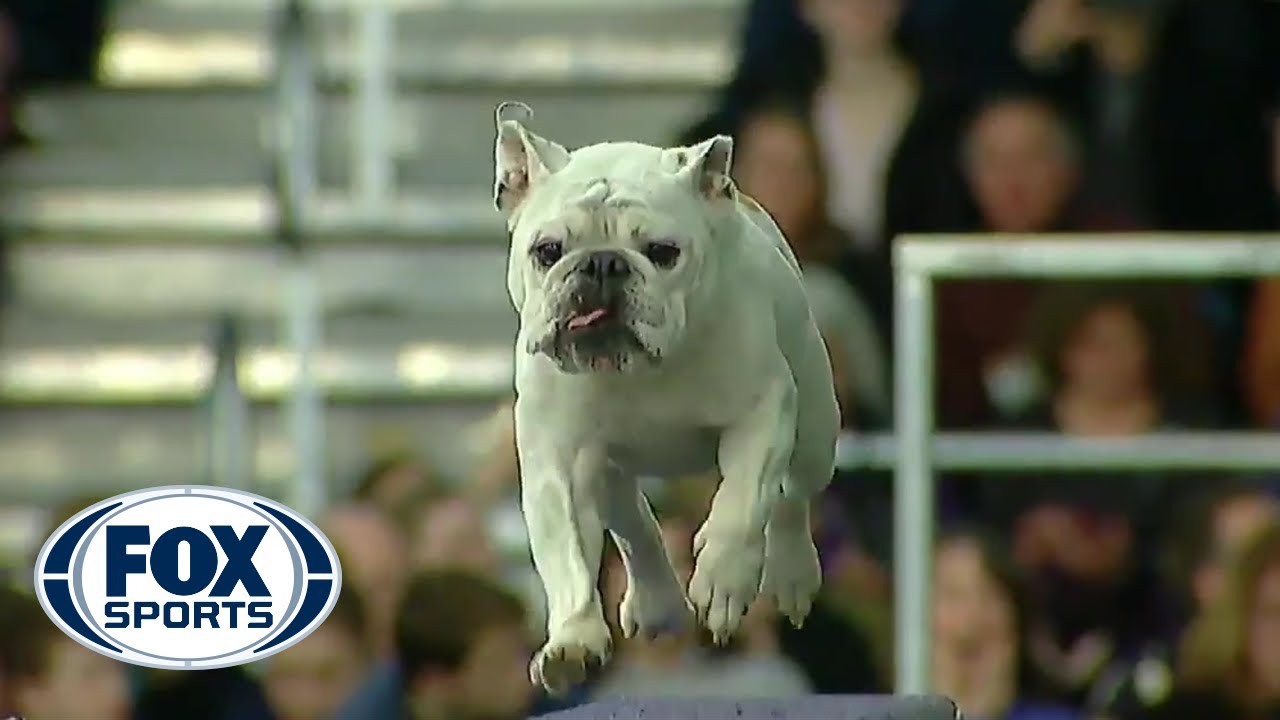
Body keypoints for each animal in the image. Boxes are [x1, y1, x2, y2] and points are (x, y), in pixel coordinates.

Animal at [494, 101, 844, 691]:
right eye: (548, 251)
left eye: (662, 252)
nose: (603, 263)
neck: (639, 370)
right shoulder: (556, 463)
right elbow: (567, 553)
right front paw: (573, 639)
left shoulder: (763, 411)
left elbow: (743, 502)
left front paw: (723, 579)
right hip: (606, 466)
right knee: (634, 523)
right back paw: (656, 600)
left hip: (817, 427)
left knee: (793, 496)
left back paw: (791, 573)